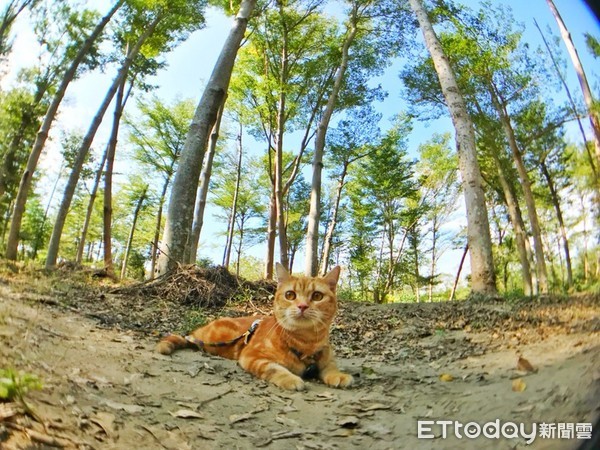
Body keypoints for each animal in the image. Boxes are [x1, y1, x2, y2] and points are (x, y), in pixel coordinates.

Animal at [157, 264, 352, 390]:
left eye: (317, 296)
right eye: (290, 295)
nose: (302, 306)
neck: (306, 343)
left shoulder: (326, 356)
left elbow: (331, 366)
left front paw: (338, 375)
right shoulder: (252, 356)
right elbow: (274, 367)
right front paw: (290, 379)